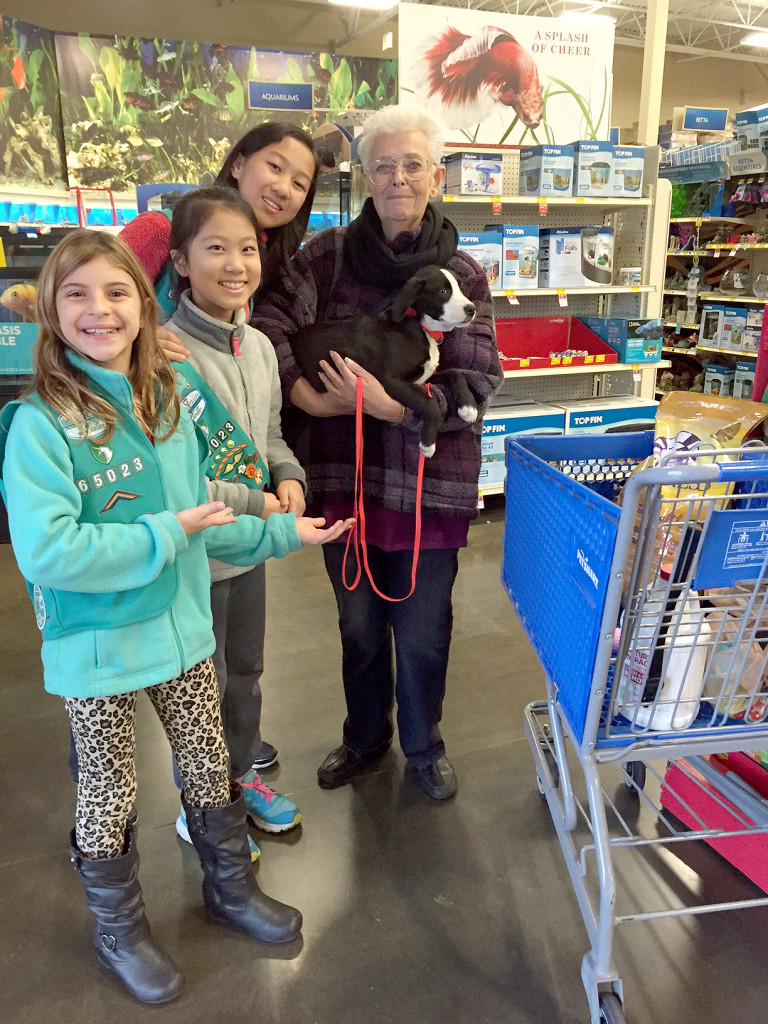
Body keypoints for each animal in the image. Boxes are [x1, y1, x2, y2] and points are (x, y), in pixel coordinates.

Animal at [290, 268, 479, 456]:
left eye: (461, 288)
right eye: (443, 291)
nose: (472, 309)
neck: (420, 326)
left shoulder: (422, 378)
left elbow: (455, 374)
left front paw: (469, 407)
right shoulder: (389, 380)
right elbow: (429, 403)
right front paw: (427, 444)